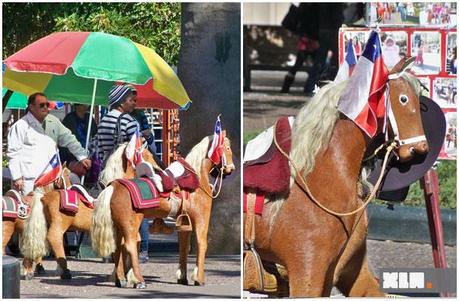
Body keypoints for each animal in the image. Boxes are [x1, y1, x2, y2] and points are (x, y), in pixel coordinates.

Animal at [19, 143, 160, 278]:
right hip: (58, 226)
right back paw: (64, 271)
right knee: (54, 239)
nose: (157, 168)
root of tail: (43, 196)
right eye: (147, 155)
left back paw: (28, 270)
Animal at [92, 132, 237, 288]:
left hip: (119, 226)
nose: (231, 168)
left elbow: (184, 247)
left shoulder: (184, 223)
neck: (198, 178)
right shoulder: (201, 218)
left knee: (118, 247)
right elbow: (201, 243)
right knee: (130, 245)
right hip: (130, 225)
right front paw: (199, 278)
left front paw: (182, 277)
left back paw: (121, 280)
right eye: (228, 148)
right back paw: (139, 280)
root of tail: (114, 186)